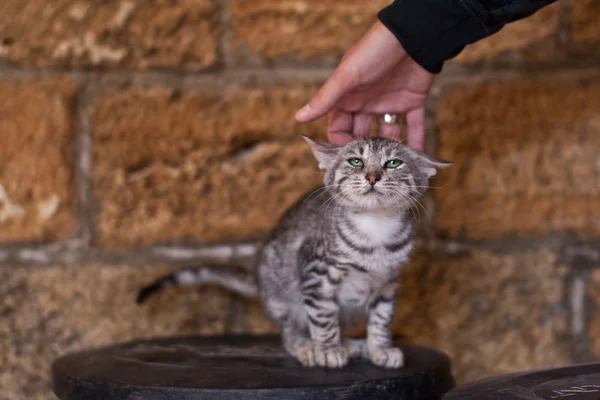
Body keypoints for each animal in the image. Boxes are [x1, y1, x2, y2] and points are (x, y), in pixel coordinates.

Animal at [135, 137, 446, 368]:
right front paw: (327, 349)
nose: (372, 176)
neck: (375, 231)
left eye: (393, 163)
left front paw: (380, 348)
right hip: (282, 294)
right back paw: (309, 346)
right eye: (356, 161)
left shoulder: (389, 281)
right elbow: (323, 317)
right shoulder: (315, 271)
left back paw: (351, 343)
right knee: (291, 330)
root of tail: (258, 282)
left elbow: (381, 318)